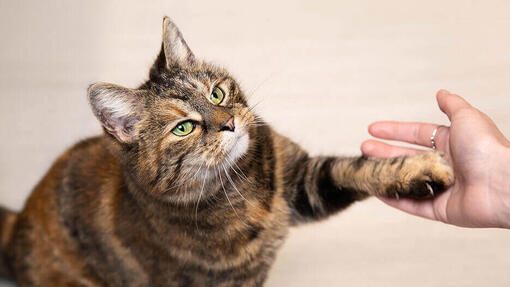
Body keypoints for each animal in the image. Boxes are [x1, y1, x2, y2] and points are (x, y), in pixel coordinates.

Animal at [0, 16, 454, 286]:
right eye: (183, 127)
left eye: (216, 93)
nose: (229, 122)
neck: (244, 189)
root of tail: (18, 222)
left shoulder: (303, 181)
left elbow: (359, 169)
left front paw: (422, 170)